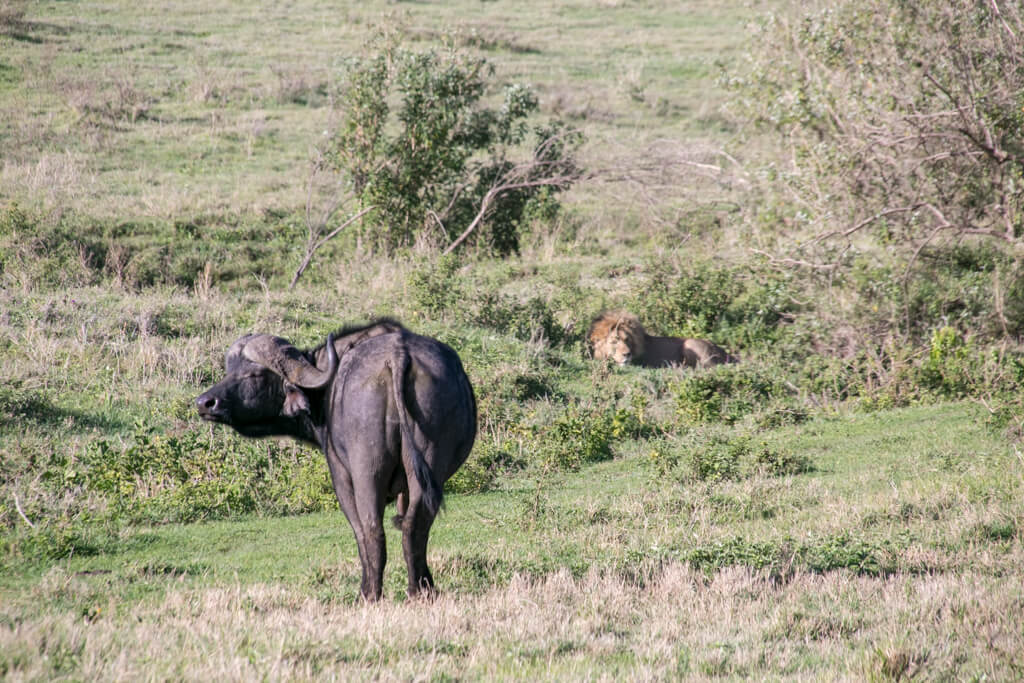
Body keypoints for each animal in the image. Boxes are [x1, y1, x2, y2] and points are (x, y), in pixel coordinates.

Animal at [195, 321, 475, 598]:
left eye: (253, 374)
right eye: (228, 371)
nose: (205, 403)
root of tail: (397, 356)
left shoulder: (340, 475)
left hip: (365, 472)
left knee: (371, 530)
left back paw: (369, 594)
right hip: (428, 468)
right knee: (415, 526)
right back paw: (420, 590)